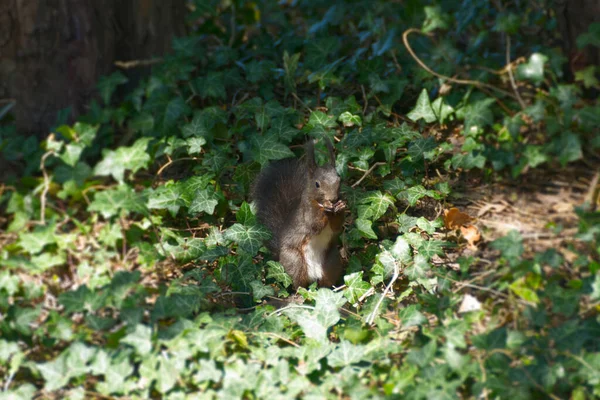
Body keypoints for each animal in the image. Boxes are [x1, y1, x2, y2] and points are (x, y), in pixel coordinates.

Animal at [251, 138, 344, 288]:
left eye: (339, 179)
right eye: (317, 184)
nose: (333, 199)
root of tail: (314, 276)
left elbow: (337, 226)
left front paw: (341, 206)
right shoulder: (306, 212)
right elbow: (313, 225)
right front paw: (326, 209)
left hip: (332, 261)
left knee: (326, 283)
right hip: (295, 261)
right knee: (297, 283)